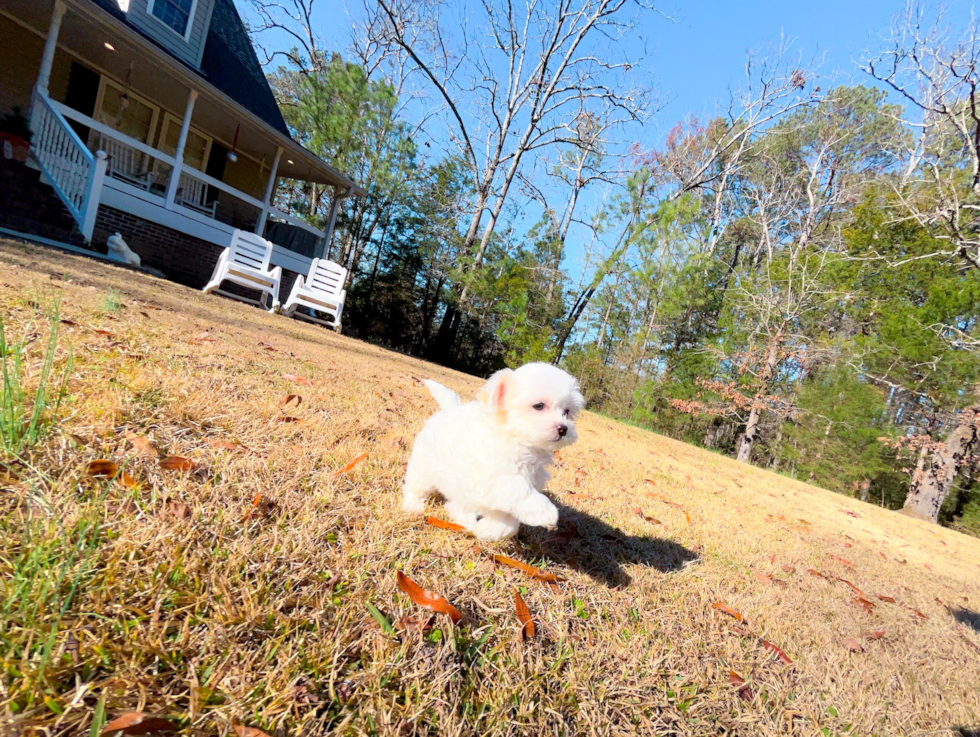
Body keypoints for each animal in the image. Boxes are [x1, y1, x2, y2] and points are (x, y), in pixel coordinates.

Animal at [402, 362, 584, 540]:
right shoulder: (490, 478)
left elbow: (509, 522)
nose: (563, 429)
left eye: (566, 411)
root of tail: (450, 410)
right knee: (416, 486)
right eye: (538, 406)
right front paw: (545, 512)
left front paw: (487, 530)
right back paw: (413, 505)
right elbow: (518, 489)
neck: (517, 440)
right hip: (424, 466)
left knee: (456, 504)